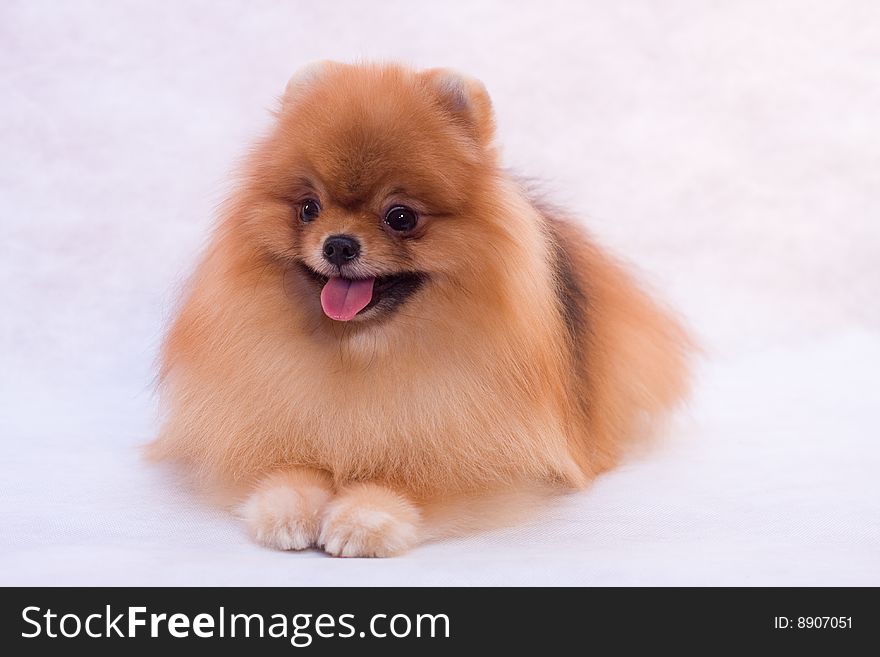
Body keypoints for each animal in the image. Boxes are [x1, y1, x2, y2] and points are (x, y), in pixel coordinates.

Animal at [148, 61, 692, 556]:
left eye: (401, 217)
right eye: (308, 208)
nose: (338, 244)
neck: (361, 350)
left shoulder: (489, 453)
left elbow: (421, 479)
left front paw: (364, 516)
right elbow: (281, 465)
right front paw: (286, 508)